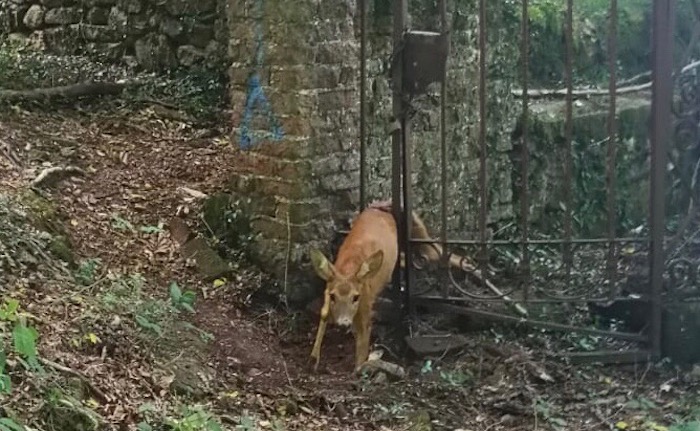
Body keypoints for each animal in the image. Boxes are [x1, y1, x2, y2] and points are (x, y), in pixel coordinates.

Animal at [308, 200, 475, 373]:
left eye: (356, 297)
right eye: (333, 296)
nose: (343, 323)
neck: (349, 266)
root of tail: (384, 204)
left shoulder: (366, 301)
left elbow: (364, 334)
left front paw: (359, 368)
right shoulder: (328, 286)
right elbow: (324, 312)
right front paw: (313, 358)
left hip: (418, 233)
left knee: (437, 253)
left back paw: (471, 267)